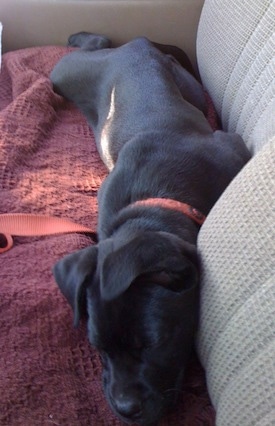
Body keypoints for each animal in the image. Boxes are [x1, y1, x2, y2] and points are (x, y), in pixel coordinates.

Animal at [50, 34, 251, 426]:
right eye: (97, 347)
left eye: (154, 343)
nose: (125, 409)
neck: (152, 205)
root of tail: (130, 50)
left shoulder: (231, 147)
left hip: (67, 71)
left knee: (97, 44)